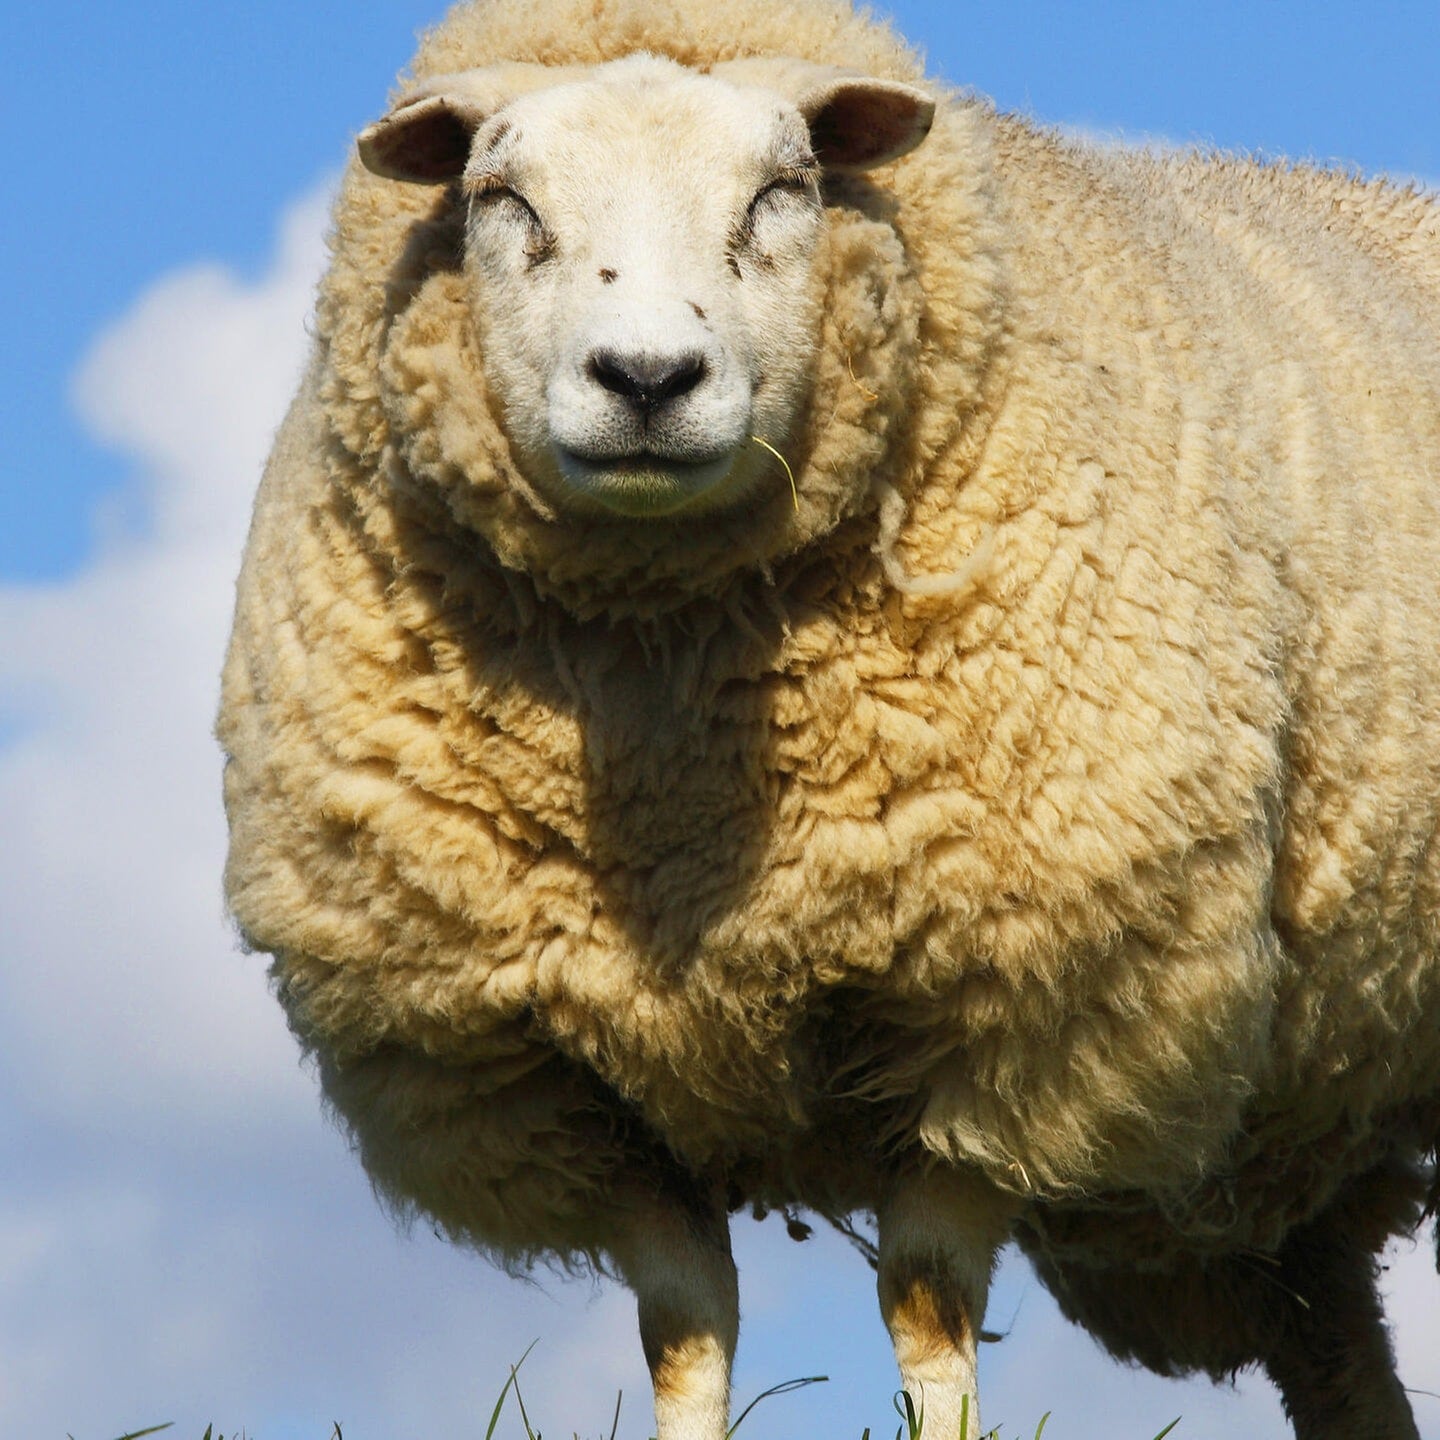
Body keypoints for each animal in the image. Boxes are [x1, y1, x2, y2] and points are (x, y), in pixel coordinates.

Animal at [217, 0, 1440, 1435]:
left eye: (782, 193)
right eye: (503, 201)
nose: (647, 378)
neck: (678, 796)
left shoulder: (1005, 1003)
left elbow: (924, 1310)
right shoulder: (571, 1082)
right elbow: (685, 1332)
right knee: (1335, 1343)